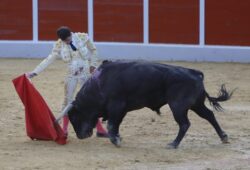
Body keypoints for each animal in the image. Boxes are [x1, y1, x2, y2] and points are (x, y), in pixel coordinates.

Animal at [67, 60, 233, 147]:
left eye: (74, 118)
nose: (80, 136)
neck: (99, 85)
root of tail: (194, 73)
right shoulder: (122, 110)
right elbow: (116, 125)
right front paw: (118, 138)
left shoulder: (116, 106)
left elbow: (112, 124)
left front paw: (116, 141)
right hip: (196, 105)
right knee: (209, 115)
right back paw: (224, 137)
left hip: (178, 106)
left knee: (185, 124)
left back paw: (173, 144)